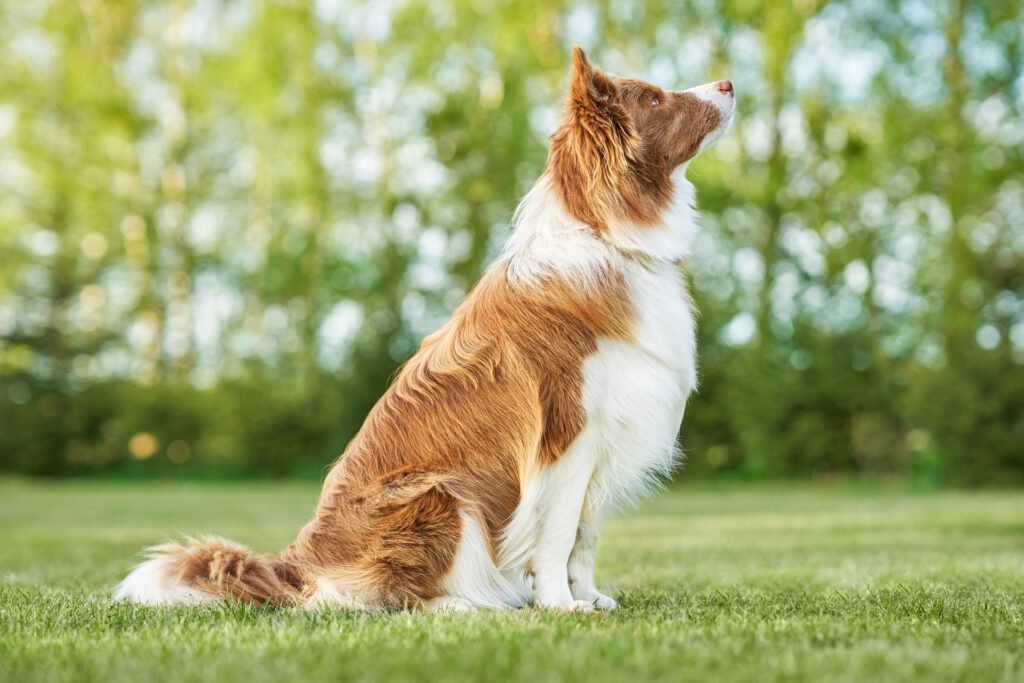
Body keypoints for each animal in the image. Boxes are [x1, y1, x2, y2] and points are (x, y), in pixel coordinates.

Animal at [116, 48, 733, 614]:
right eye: (653, 99)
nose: (728, 82)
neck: (606, 235)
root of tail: (297, 564)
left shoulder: (603, 437)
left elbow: (584, 537)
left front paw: (589, 597)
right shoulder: (567, 434)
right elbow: (558, 538)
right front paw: (560, 606)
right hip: (440, 494)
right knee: (374, 599)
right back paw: (463, 606)